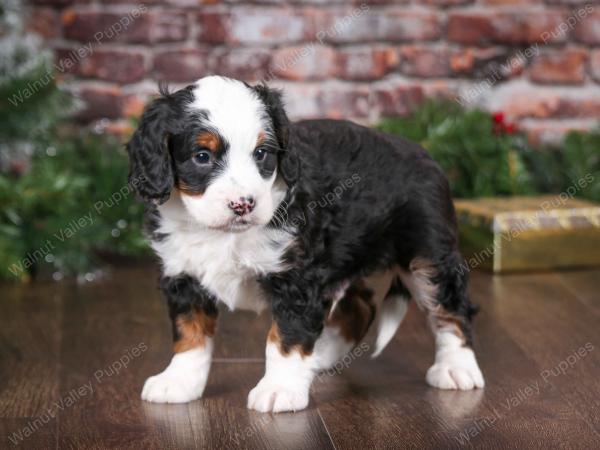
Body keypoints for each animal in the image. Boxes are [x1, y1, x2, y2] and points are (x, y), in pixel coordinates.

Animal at [126, 75, 482, 414]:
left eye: (262, 154)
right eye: (202, 157)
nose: (243, 205)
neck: (224, 234)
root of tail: (422, 150)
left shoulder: (296, 278)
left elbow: (284, 337)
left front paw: (279, 389)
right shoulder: (183, 273)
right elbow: (190, 333)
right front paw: (178, 381)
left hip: (428, 253)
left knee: (450, 309)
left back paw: (457, 368)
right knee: (360, 305)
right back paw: (321, 356)